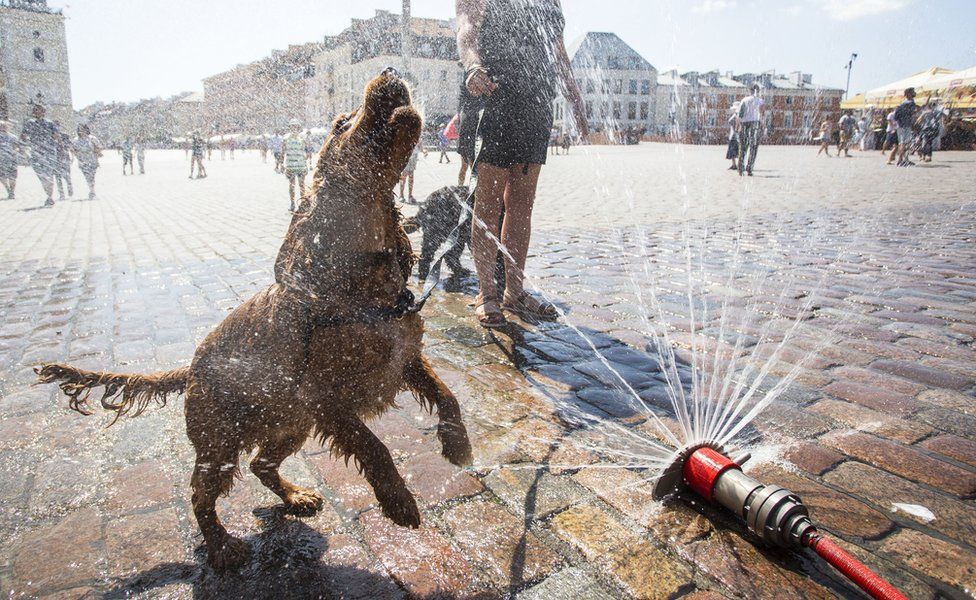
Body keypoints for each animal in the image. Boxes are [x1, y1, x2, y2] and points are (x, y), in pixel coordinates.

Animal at [34, 69, 468, 568]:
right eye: (341, 123)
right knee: (201, 496)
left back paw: (297, 497)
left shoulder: (406, 358)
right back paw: (223, 547)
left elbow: (448, 396)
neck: (362, 290)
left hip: (289, 424)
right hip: (220, 441)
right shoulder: (325, 398)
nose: (391, 71)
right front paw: (399, 503)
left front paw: (459, 446)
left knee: (261, 464)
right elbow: (373, 446)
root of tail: (190, 368)